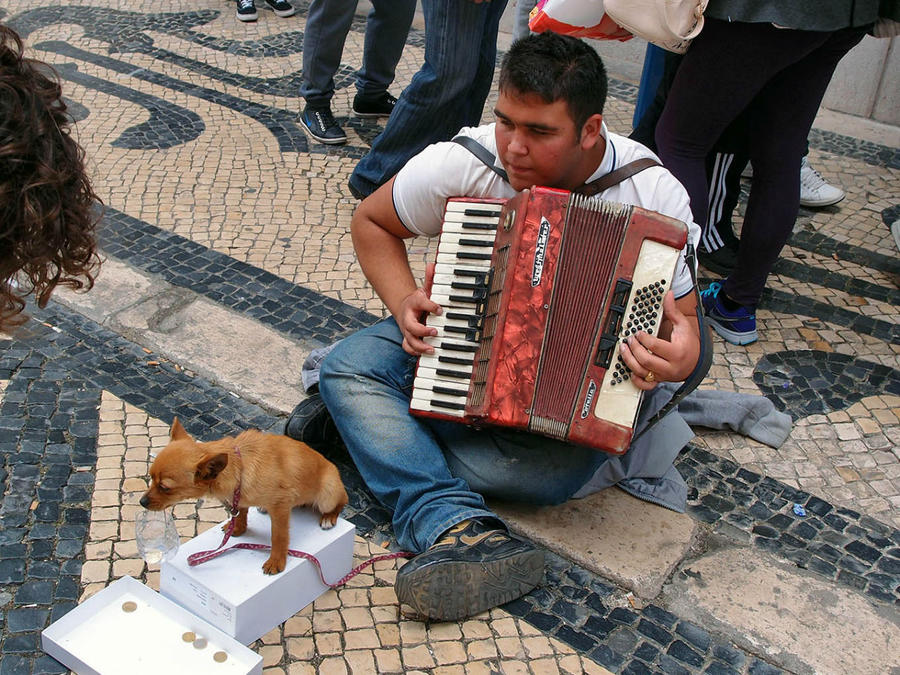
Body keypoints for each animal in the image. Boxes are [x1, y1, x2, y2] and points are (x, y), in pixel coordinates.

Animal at [140, 420, 348, 572]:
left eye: (165, 487)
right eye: (151, 477)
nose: (142, 502)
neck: (240, 466)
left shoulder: (280, 506)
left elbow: (278, 536)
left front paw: (276, 560)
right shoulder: (239, 497)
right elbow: (241, 514)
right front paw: (238, 529)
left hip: (328, 495)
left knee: (342, 502)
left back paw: (328, 518)